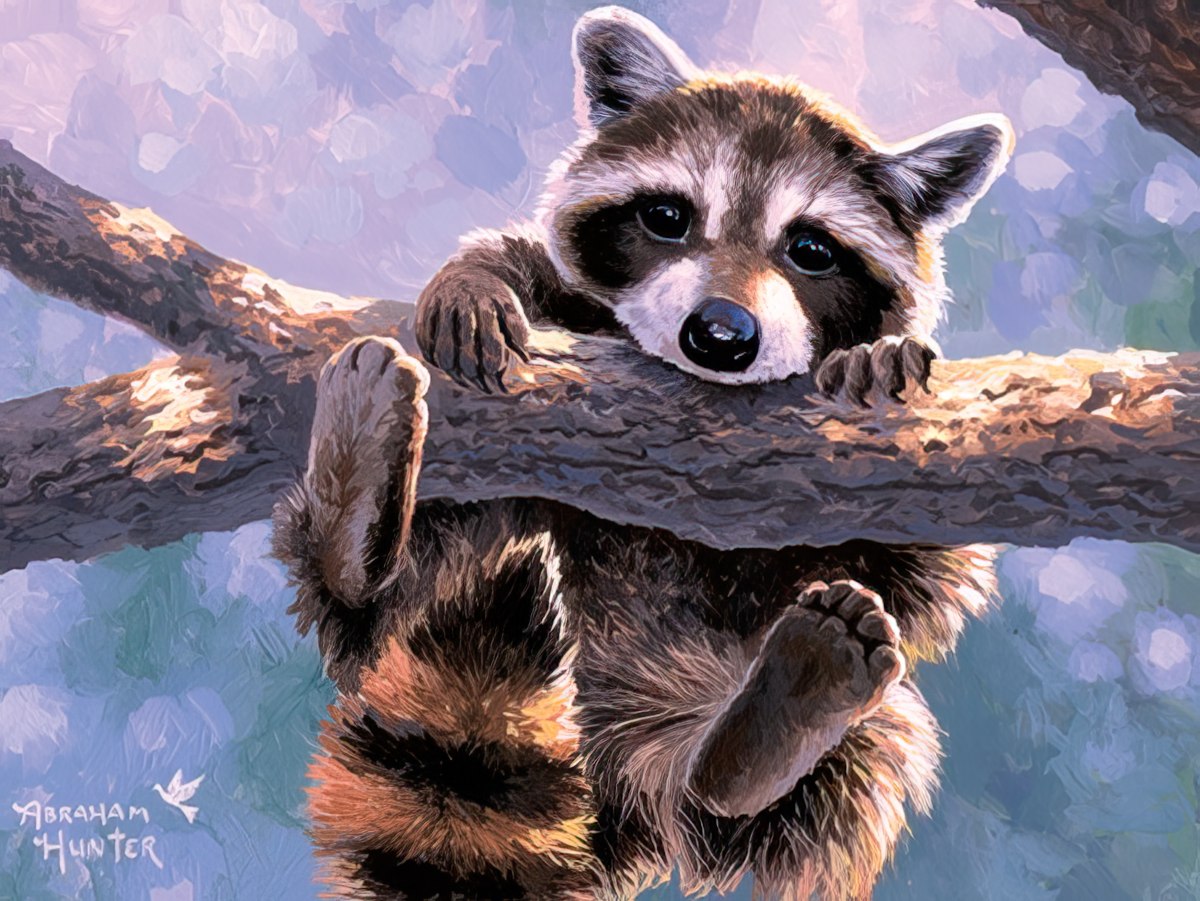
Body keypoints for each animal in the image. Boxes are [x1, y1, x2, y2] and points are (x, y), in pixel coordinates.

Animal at [272, 6, 1010, 899]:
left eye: (810, 250)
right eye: (668, 217)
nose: (721, 335)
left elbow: (923, 561)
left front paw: (877, 357)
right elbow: (524, 269)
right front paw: (477, 275)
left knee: (848, 757)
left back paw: (759, 738)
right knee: (379, 574)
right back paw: (354, 512)